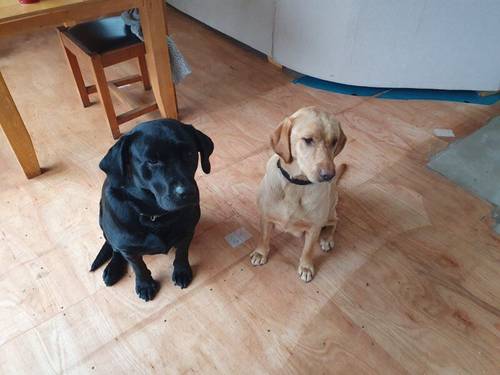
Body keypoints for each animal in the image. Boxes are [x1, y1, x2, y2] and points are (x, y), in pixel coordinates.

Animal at [90, 120, 213, 302]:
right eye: (152, 161)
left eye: (189, 153)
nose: (188, 193)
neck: (156, 216)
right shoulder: (129, 250)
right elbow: (138, 267)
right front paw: (145, 284)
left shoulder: (187, 232)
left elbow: (181, 253)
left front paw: (181, 271)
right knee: (114, 248)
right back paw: (112, 269)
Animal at [250, 107, 348, 284]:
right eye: (308, 140)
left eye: (334, 141)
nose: (329, 175)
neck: (297, 184)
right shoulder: (266, 217)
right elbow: (264, 237)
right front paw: (261, 253)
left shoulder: (314, 227)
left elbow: (308, 250)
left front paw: (306, 267)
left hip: (329, 213)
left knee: (335, 221)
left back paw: (327, 238)